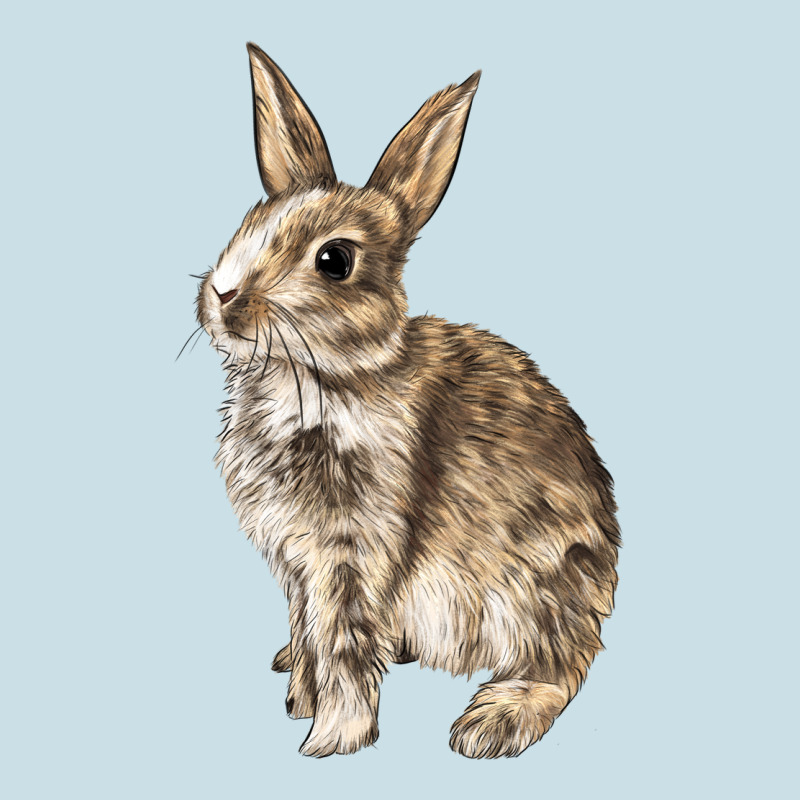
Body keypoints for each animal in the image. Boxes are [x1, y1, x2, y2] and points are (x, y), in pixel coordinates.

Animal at [194, 43, 620, 759]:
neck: (321, 377)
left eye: (334, 260)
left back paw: (490, 723)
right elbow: (309, 633)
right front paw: (298, 695)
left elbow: (340, 645)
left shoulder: (351, 554)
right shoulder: (298, 564)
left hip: (531, 594)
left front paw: (329, 739)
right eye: (248, 224)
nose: (223, 296)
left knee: (561, 668)